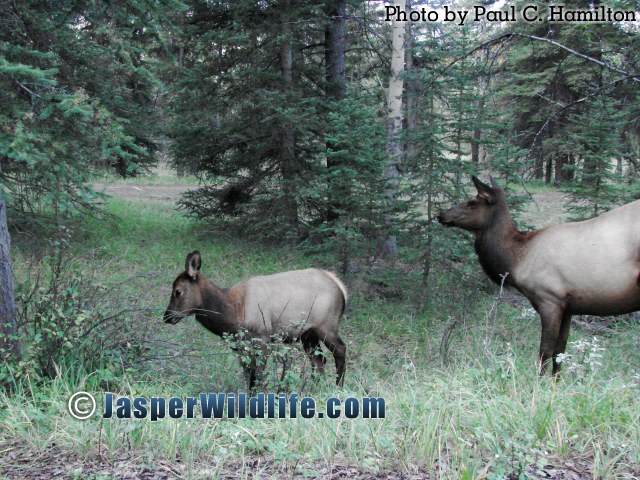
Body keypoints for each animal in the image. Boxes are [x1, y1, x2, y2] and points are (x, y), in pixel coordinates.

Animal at [163, 251, 347, 388]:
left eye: (178, 291)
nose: (167, 316)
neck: (233, 313)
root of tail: (340, 287)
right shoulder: (240, 346)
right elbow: (248, 375)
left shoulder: (262, 337)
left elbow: (256, 376)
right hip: (308, 333)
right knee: (318, 359)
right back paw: (317, 387)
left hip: (326, 325)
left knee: (339, 349)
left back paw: (338, 386)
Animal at [438, 176, 640, 375]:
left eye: (471, 202)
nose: (441, 214)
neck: (516, 260)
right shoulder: (568, 307)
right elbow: (560, 352)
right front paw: (555, 381)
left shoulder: (550, 299)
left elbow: (545, 351)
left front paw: (539, 381)